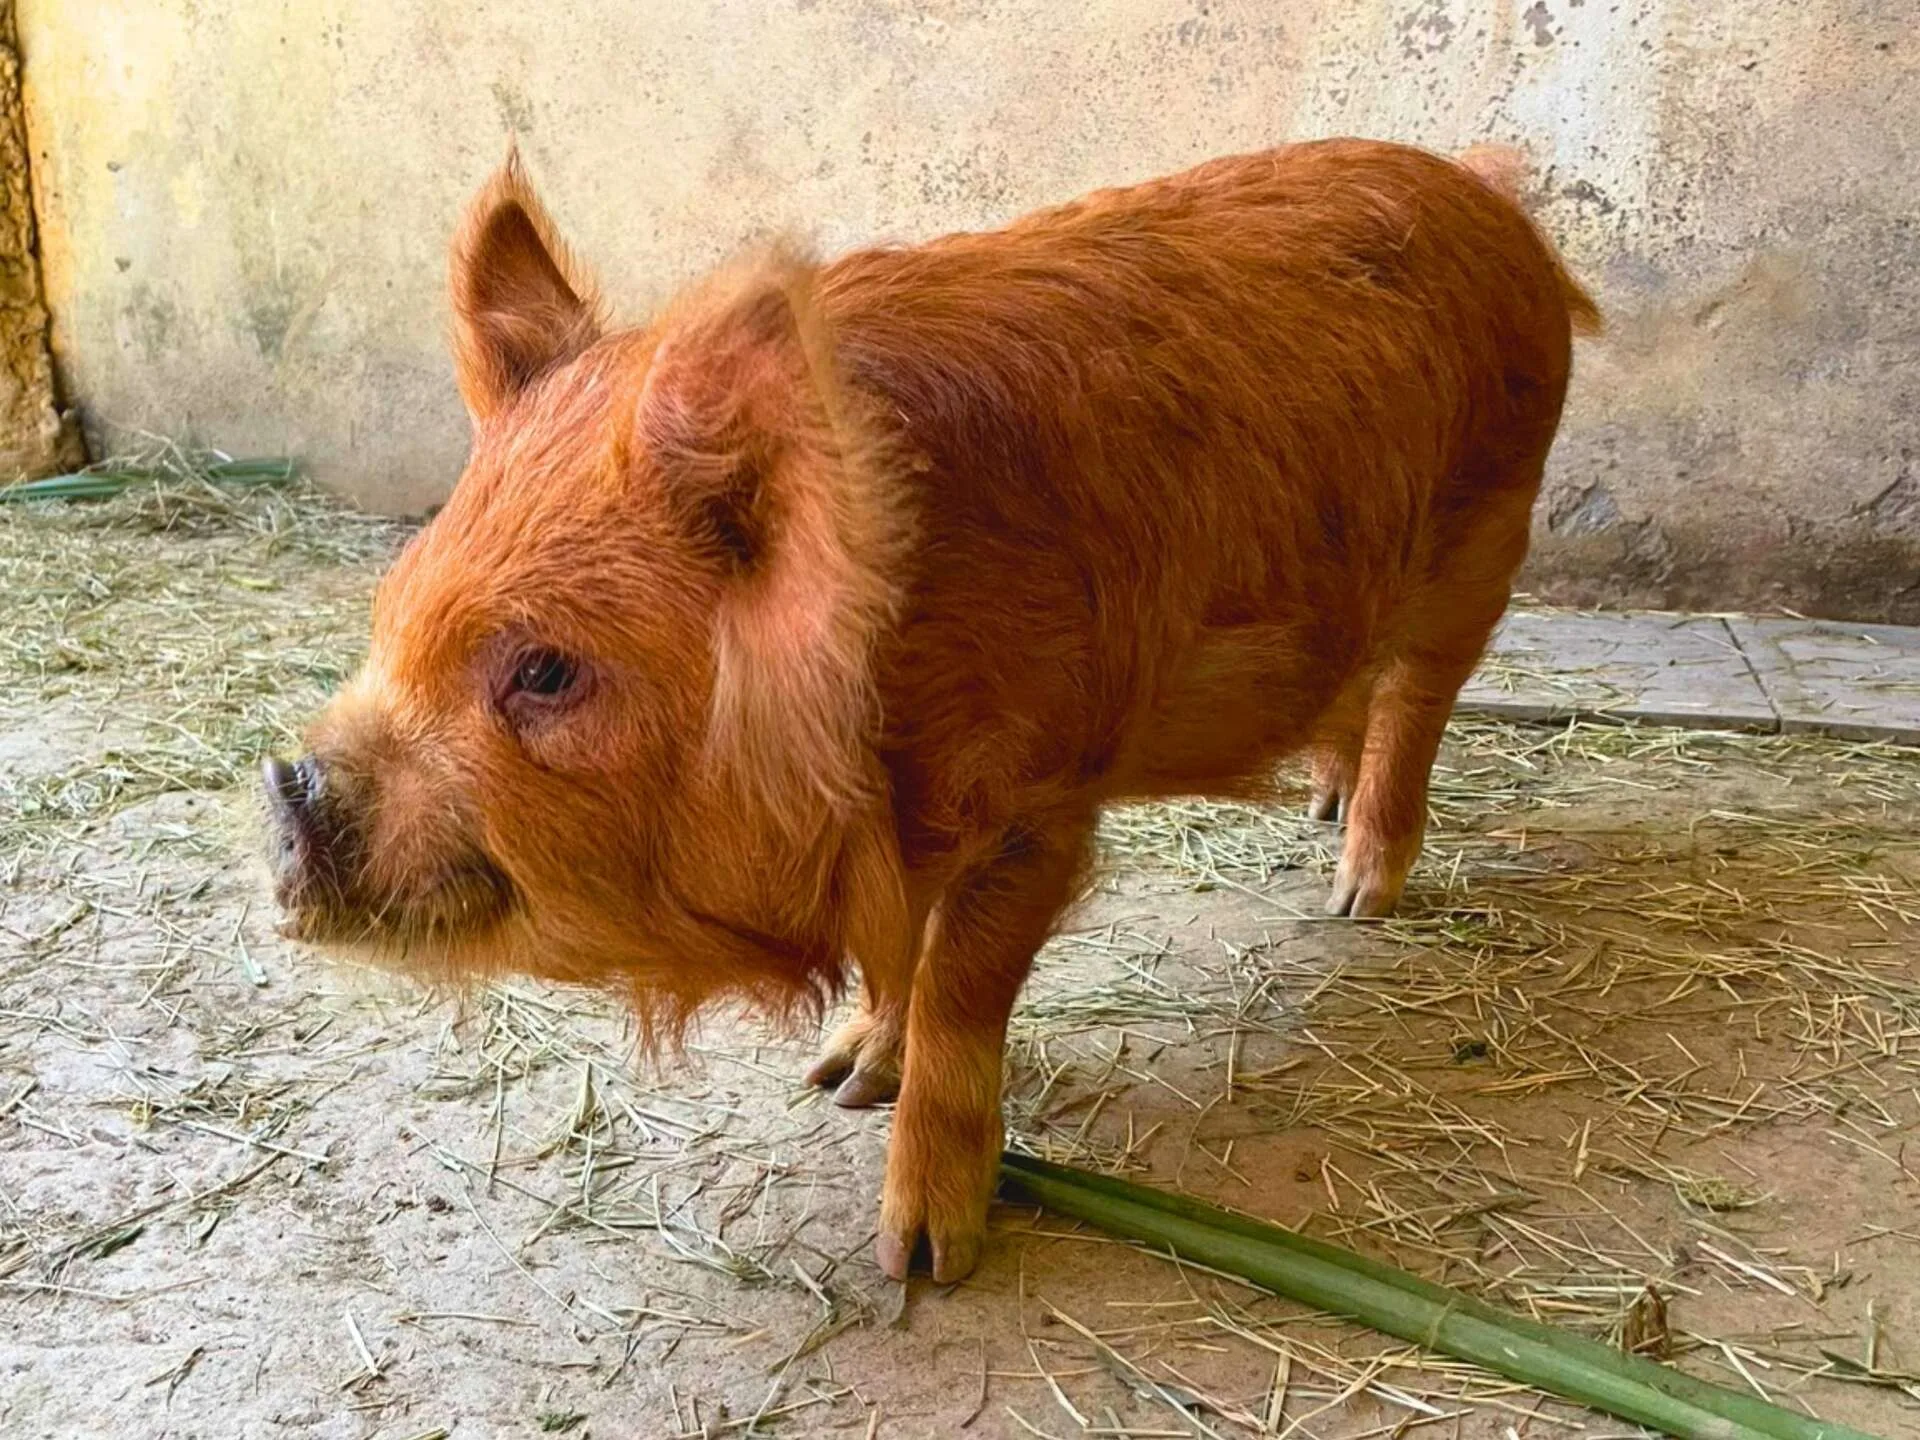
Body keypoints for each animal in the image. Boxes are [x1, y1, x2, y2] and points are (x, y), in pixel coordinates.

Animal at [265, 138, 1598, 1283]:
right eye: (396, 600)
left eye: (545, 671)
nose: (288, 784)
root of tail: (1489, 200)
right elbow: (896, 956)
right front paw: (840, 1077)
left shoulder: (1040, 803)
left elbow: (960, 986)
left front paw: (920, 1258)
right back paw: (1317, 809)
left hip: (1493, 525)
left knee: (1421, 695)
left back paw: (1358, 893)